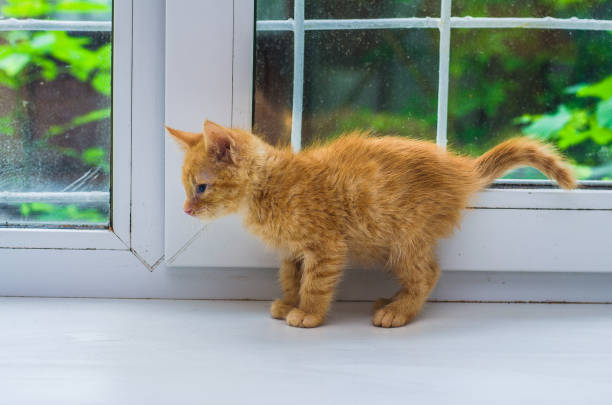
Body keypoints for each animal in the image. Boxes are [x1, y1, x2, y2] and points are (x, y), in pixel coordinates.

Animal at [166, 120, 572, 328]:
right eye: (186, 188)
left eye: (201, 187)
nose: (185, 210)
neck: (271, 183)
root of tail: (461, 169)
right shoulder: (293, 251)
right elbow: (292, 278)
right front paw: (289, 301)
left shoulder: (326, 246)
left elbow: (315, 284)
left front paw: (308, 313)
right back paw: (391, 299)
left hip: (405, 239)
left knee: (428, 273)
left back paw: (398, 311)